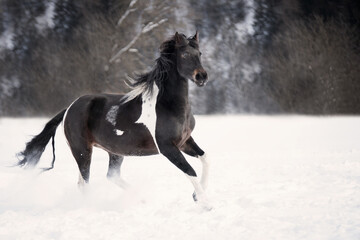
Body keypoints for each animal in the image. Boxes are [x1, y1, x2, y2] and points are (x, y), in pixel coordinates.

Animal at [18, 32, 211, 210]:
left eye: (200, 53)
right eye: (184, 55)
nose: (201, 76)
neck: (168, 105)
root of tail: (70, 108)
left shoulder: (184, 141)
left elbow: (205, 158)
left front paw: (196, 196)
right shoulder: (167, 147)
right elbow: (190, 170)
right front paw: (205, 203)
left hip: (114, 151)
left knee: (108, 176)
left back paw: (140, 199)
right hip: (82, 151)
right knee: (86, 182)